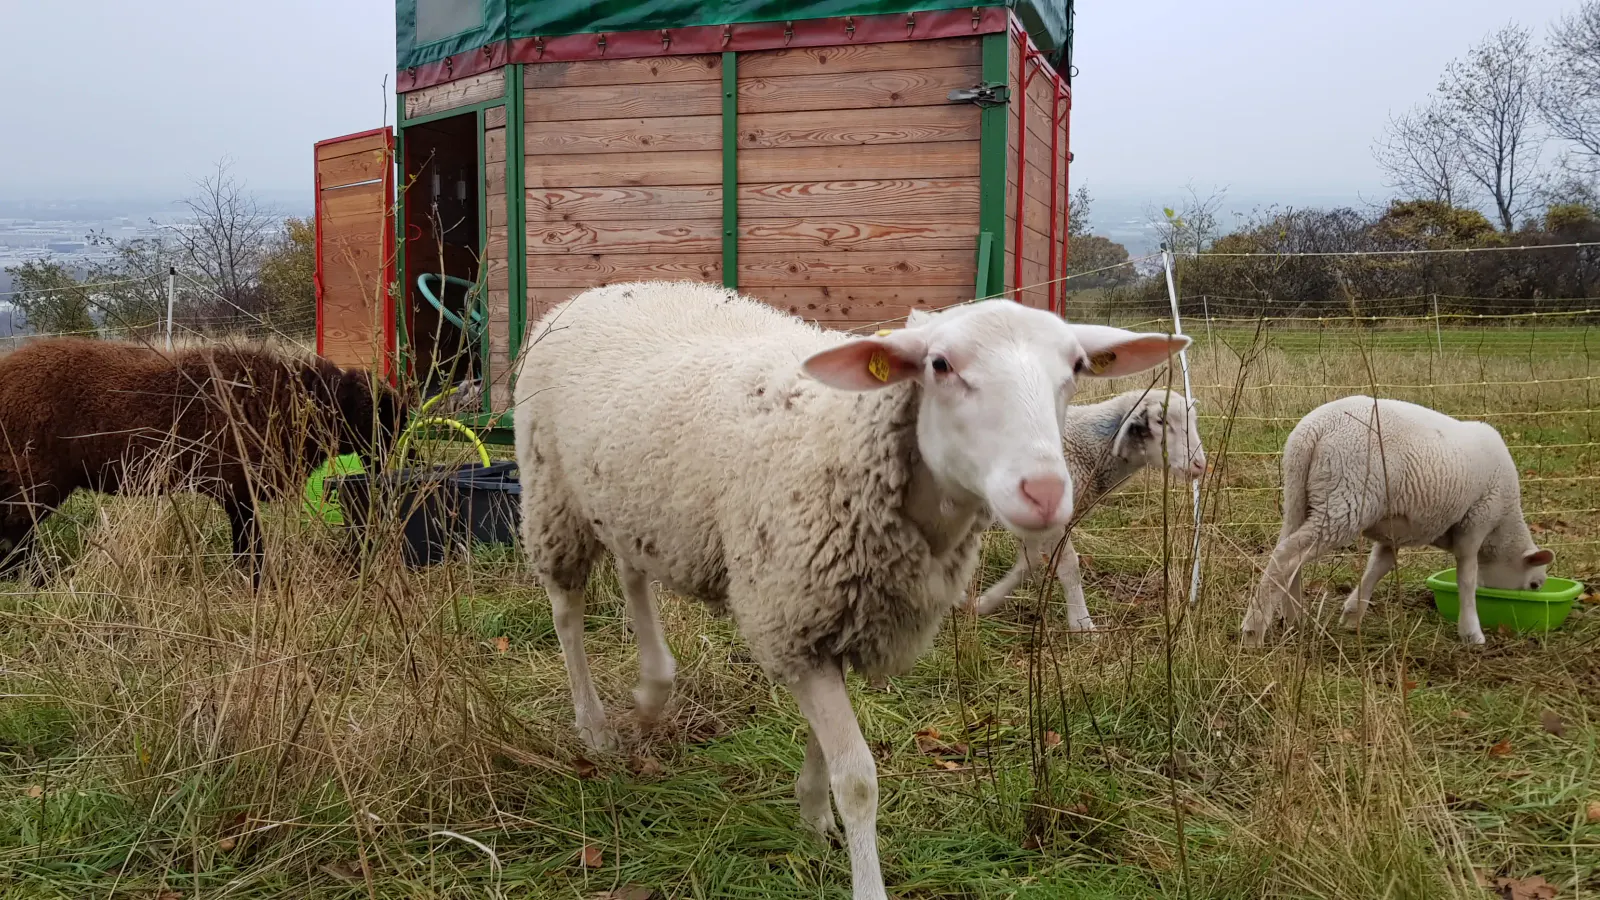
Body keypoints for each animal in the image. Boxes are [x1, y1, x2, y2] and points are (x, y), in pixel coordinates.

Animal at [0, 338, 405, 586]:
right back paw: (33, 580)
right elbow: (249, 541)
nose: (387, 465)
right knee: (17, 535)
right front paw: (255, 580)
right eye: (379, 420)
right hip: (30, 477)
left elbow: (246, 540)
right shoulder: (238, 488)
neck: (291, 403)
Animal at [971, 387, 1207, 625]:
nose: (1200, 465)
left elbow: (1030, 562)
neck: (1089, 448)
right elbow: (1068, 567)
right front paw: (1082, 623)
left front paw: (985, 603)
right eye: (1161, 420)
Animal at [1239, 395, 1553, 646]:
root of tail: (1313, 430)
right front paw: (1472, 632)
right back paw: (1254, 630)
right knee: (1288, 556)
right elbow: (1466, 576)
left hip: (1299, 497)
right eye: (1535, 585)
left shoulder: (1393, 532)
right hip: (1346, 499)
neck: (1501, 530)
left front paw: (1352, 614)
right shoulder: (1476, 519)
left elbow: (1378, 567)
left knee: (1288, 553)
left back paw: (1293, 620)